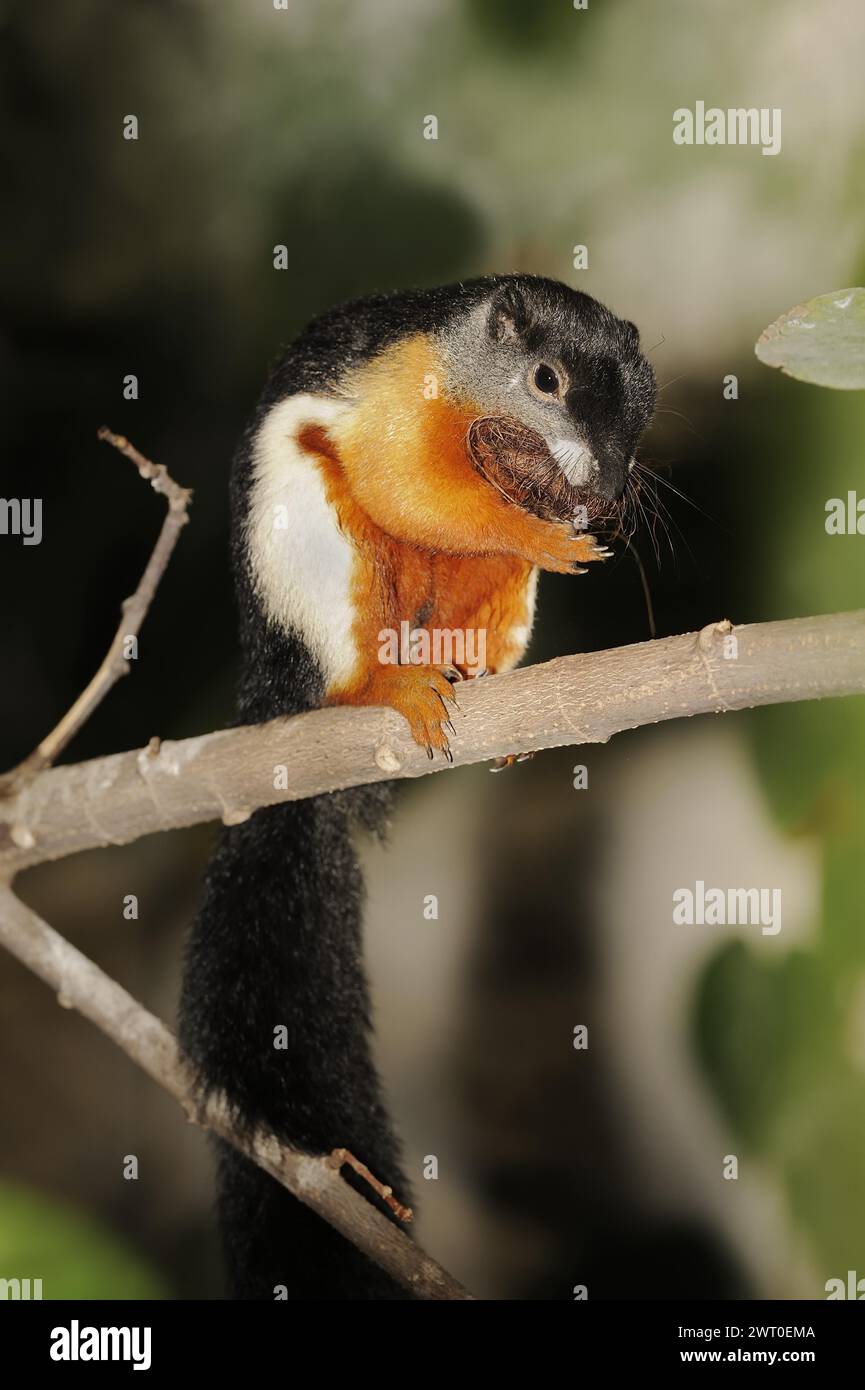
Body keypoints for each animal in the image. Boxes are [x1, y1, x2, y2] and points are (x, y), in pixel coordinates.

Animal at [178, 274, 656, 1299]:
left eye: (644, 404)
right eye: (546, 380)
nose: (603, 488)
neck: (469, 387)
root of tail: (276, 704)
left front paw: (570, 524)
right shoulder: (398, 394)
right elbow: (407, 488)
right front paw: (539, 531)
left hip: (482, 606)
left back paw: (481, 697)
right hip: (318, 565)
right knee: (350, 656)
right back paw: (389, 690)